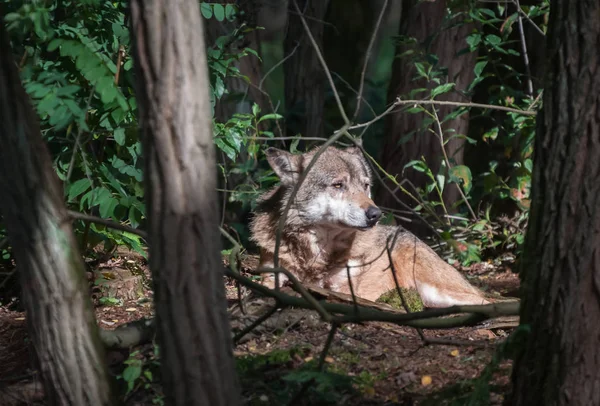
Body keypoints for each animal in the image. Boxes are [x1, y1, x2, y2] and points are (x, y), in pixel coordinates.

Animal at [251, 146, 490, 308]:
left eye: (365, 185)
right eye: (338, 185)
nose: (375, 214)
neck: (316, 256)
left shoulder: (343, 289)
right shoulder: (272, 275)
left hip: (437, 290)